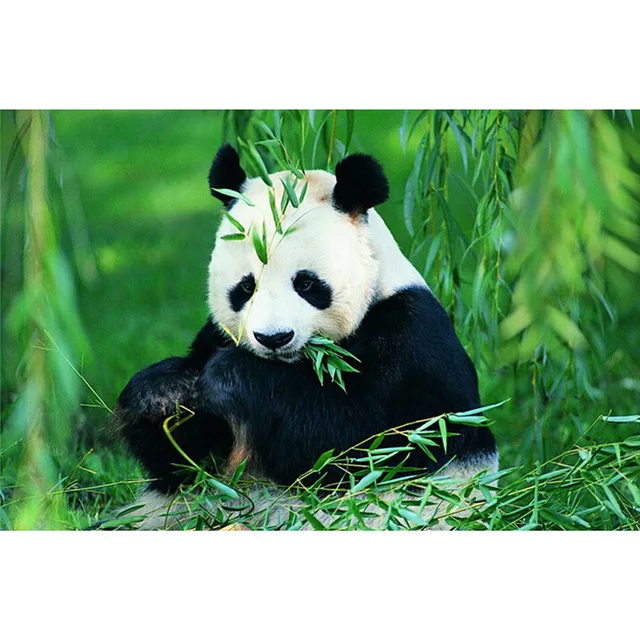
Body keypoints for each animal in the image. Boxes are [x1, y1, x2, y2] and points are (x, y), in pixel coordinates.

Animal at [111, 144, 498, 529]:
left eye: (307, 283)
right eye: (246, 287)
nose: (274, 338)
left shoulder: (411, 344)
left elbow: (352, 442)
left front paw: (231, 376)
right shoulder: (215, 336)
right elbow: (186, 463)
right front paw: (163, 393)